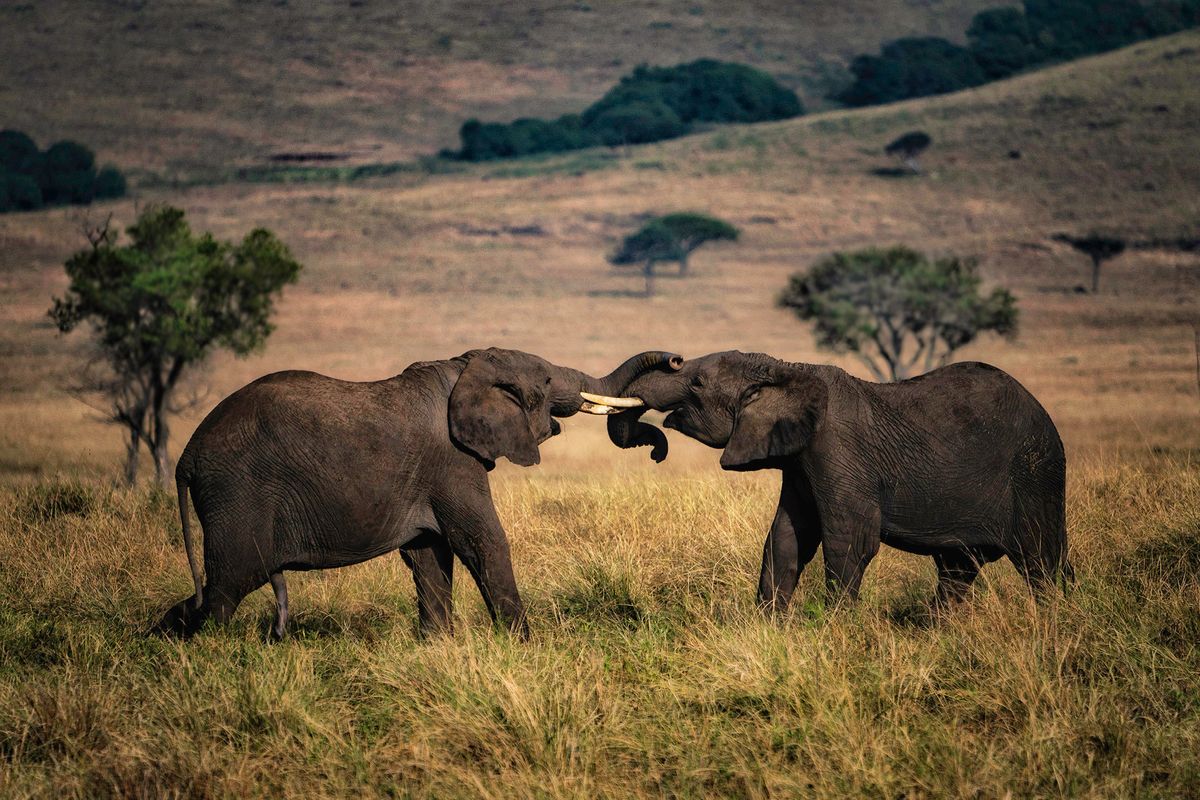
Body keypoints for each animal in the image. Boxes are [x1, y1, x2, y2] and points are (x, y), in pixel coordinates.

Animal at [157, 347, 686, 642]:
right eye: (548, 380)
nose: (678, 360)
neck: (462, 367)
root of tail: (186, 458)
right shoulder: (452, 461)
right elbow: (482, 542)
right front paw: (527, 647)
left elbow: (429, 555)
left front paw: (437, 648)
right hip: (237, 494)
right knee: (226, 588)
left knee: (211, 593)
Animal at [604, 352, 1075, 614]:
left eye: (698, 383)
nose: (656, 451)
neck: (785, 369)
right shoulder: (799, 461)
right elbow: (786, 538)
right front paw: (768, 627)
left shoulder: (838, 452)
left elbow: (850, 540)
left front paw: (835, 630)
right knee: (958, 569)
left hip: (1036, 473)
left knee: (1041, 559)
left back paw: (1057, 623)